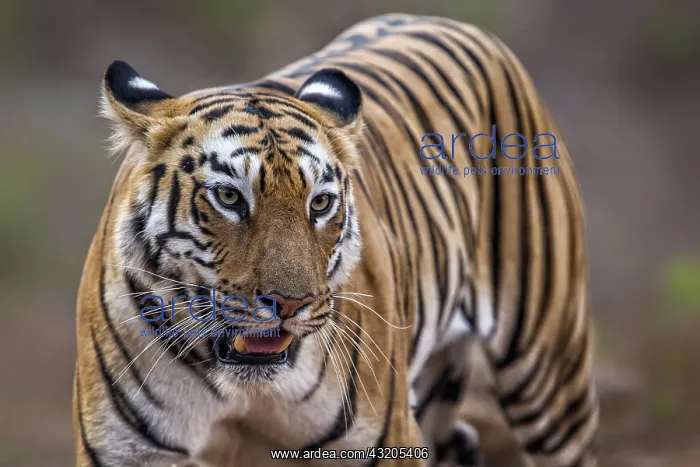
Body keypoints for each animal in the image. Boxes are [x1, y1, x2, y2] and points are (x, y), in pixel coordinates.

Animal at [73, 13, 598, 467]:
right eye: (229, 196)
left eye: (321, 203)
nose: (291, 304)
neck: (243, 390)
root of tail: (454, 22)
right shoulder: (125, 453)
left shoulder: (383, 443)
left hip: (549, 374)